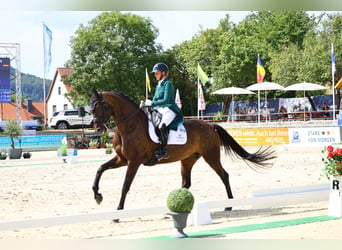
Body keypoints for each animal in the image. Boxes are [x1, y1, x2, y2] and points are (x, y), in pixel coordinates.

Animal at [89, 89, 276, 213]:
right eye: (91, 107)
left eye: (100, 105)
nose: (97, 128)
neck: (129, 126)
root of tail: (210, 126)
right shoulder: (122, 159)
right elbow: (99, 169)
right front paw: (98, 196)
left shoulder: (134, 162)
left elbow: (125, 185)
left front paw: (118, 210)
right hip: (188, 159)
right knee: (186, 182)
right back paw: (178, 207)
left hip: (211, 156)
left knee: (224, 175)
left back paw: (229, 205)